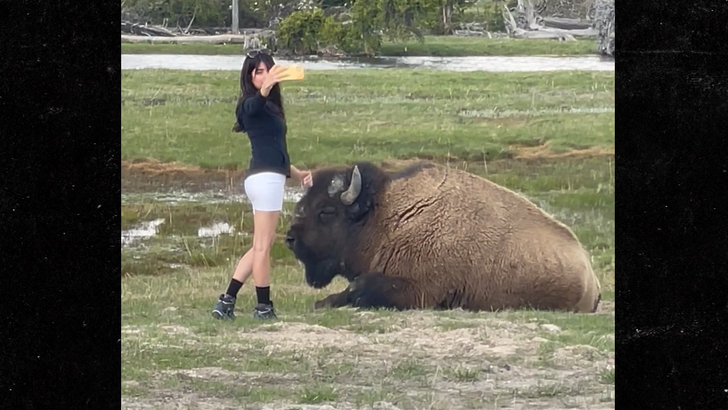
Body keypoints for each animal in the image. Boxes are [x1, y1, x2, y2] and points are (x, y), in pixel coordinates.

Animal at [285, 161, 601, 313]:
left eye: (326, 211)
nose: (290, 239)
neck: (387, 215)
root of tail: (590, 275)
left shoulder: (419, 289)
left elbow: (359, 288)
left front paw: (324, 303)